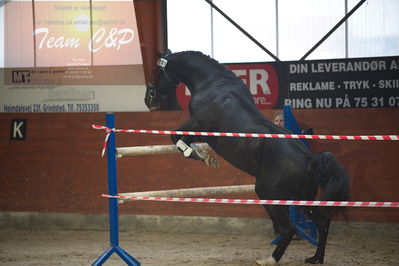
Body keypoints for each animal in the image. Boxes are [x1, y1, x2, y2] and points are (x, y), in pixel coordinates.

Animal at [145, 50, 350, 264]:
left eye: (156, 71)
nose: (148, 99)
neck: (212, 84)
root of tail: (308, 158)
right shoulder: (202, 133)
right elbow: (183, 139)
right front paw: (205, 156)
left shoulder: (198, 125)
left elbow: (176, 136)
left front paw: (199, 155)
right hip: (301, 197)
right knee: (322, 222)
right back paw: (315, 258)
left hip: (270, 194)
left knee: (288, 228)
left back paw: (269, 259)